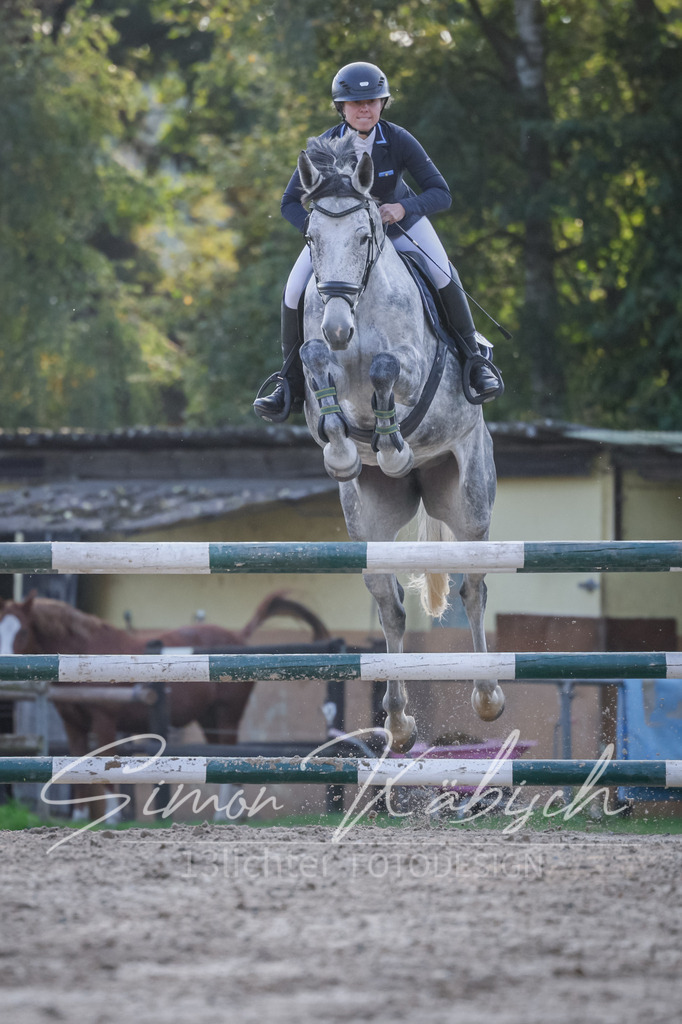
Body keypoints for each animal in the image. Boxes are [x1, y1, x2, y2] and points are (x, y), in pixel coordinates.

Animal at [0, 591, 330, 818]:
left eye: (23, 631)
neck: (85, 655)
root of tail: (236, 637)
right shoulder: (72, 724)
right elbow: (77, 763)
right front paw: (80, 817)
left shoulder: (104, 721)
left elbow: (105, 762)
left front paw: (113, 817)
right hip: (209, 719)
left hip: (227, 716)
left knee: (231, 756)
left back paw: (225, 815)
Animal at [296, 133, 503, 752]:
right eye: (312, 239)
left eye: (365, 236)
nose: (337, 326)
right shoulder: (318, 379)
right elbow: (316, 369)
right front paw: (344, 451)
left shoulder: (410, 368)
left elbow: (388, 369)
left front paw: (392, 446)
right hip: (369, 523)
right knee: (389, 607)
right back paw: (398, 723)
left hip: (469, 501)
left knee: (474, 590)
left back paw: (487, 697)